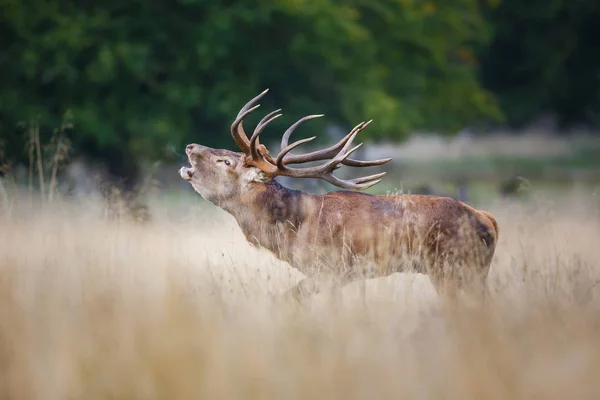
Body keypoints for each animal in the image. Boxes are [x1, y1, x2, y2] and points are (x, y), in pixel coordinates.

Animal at [178, 90, 496, 302]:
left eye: (226, 162)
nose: (190, 146)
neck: (291, 232)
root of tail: (488, 221)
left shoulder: (330, 270)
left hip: (457, 267)